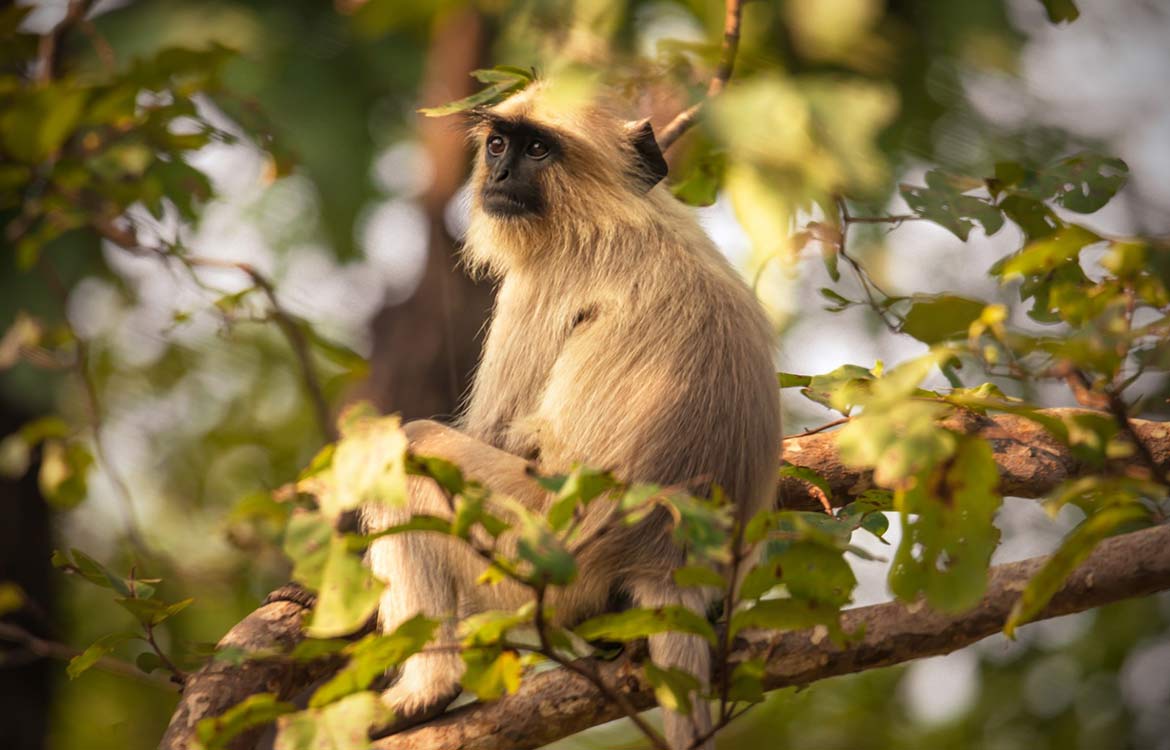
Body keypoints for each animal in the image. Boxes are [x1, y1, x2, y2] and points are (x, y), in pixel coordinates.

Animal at [362, 81, 786, 748]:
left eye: (538, 150)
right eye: (499, 143)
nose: (500, 173)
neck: (616, 213)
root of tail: (667, 564)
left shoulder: (542, 281)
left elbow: (495, 434)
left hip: (537, 548)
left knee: (415, 447)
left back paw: (429, 690)